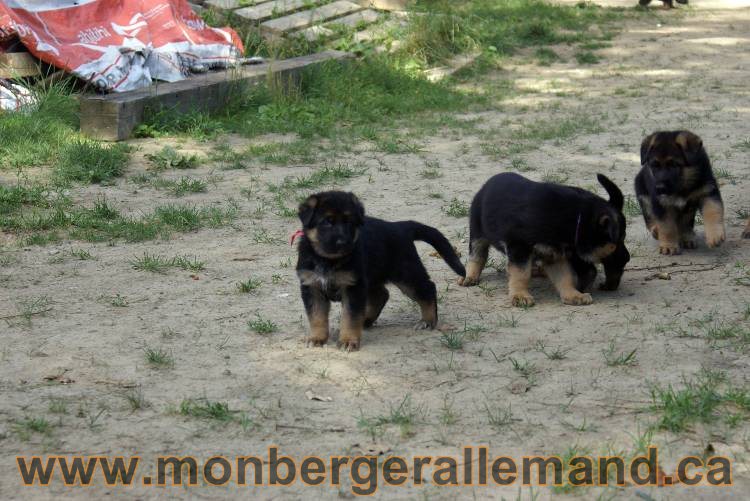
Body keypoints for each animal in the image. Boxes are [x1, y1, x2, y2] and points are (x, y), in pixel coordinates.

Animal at [296, 189, 468, 350]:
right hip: (374, 276)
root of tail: (400, 226)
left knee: (428, 288)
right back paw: (366, 320)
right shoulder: (312, 286)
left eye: (350, 222)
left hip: (406, 275)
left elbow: (350, 317)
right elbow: (317, 316)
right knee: (382, 295)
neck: (328, 260)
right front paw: (316, 338)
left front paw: (348, 341)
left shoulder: (353, 287)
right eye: (327, 222)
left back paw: (428, 320)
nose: (343, 242)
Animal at [458, 172, 628, 306]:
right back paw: (470, 276)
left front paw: (572, 295)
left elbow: (564, 276)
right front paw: (520, 296)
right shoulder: (519, 248)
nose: (627, 258)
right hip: (478, 232)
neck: (577, 219)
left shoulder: (553, 254)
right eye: (619, 241)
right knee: (477, 256)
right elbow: (520, 273)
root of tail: (488, 183)